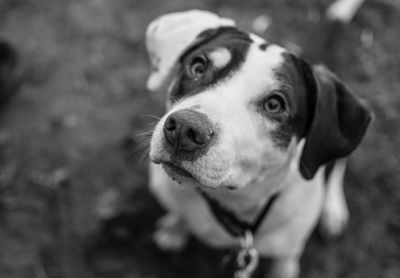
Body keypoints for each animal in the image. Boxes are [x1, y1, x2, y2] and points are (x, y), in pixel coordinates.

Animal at [145, 10, 372, 278]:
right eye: (197, 66)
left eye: (274, 104)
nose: (183, 128)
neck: (235, 201)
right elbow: (180, 215)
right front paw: (174, 230)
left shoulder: (286, 258)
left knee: (337, 165)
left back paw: (333, 210)